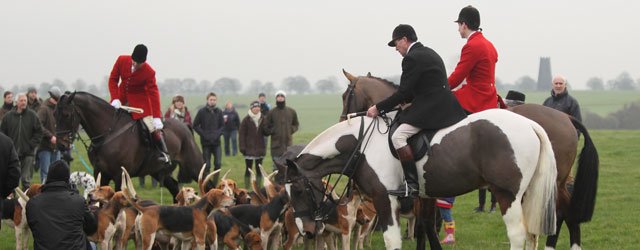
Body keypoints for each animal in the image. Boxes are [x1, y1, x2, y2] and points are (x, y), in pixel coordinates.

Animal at [56, 91, 205, 200]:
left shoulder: (118, 175)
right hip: (157, 170)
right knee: (174, 188)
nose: (60, 145)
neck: (108, 134)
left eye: (67, 115)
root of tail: (185, 126)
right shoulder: (100, 173)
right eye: (54, 114)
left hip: (194, 167)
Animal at [288, 108, 556, 249]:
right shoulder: (420, 200)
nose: (307, 231)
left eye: (299, 191)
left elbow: (392, 240)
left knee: (518, 235)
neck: (362, 145)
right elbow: (424, 231)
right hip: (525, 196)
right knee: (531, 236)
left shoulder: (385, 199)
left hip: (506, 196)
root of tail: (531, 125)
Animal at [342, 69, 596, 250]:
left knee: (559, 212)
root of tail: (566, 117)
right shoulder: (426, 189)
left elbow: (425, 224)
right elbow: (425, 224)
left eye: (347, 95)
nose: (343, 119)